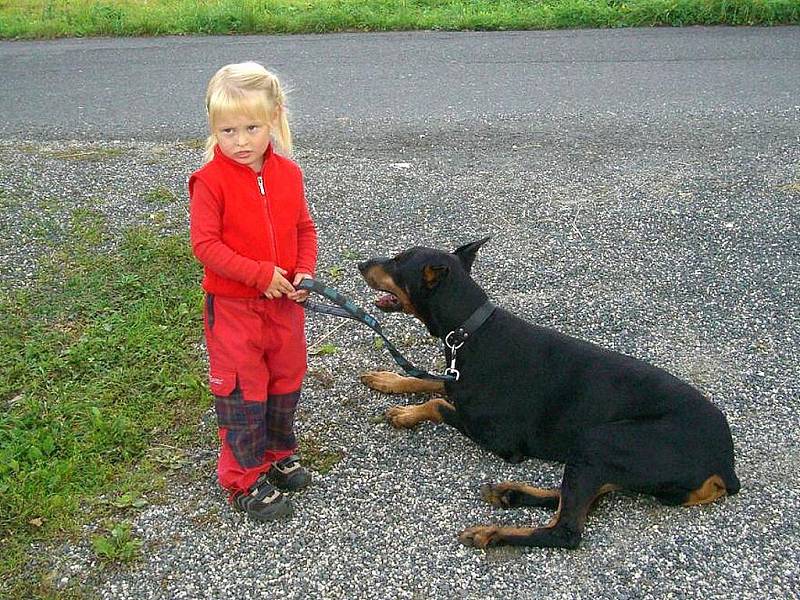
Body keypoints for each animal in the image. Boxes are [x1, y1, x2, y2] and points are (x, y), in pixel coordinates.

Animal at [360, 239, 740, 548]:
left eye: (397, 261)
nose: (361, 262)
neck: (471, 329)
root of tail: (725, 465)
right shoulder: (456, 379)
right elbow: (432, 382)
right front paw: (388, 380)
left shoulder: (501, 439)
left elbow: (438, 402)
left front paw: (405, 414)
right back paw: (510, 493)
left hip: (601, 440)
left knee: (566, 531)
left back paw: (491, 532)